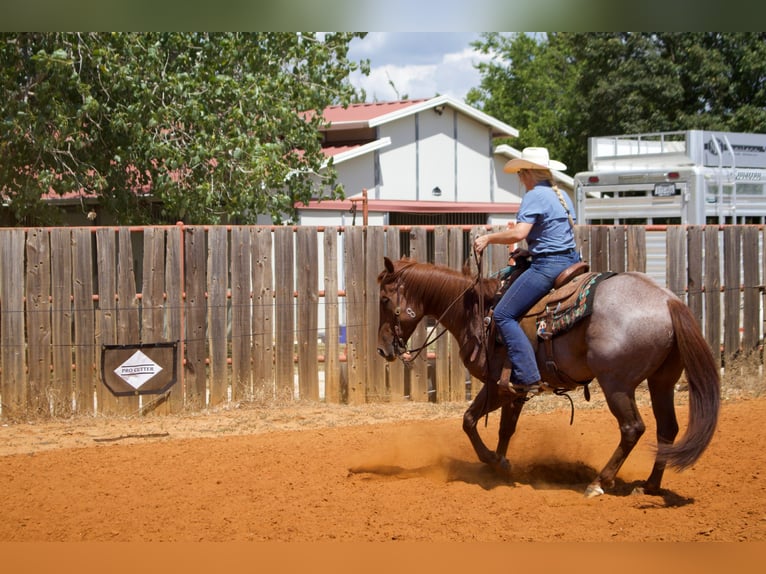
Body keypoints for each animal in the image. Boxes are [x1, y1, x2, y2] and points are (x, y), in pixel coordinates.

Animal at [376, 258, 724, 500]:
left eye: (384, 299)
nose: (383, 349)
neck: (477, 312)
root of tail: (667, 300)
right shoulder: (513, 390)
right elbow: (500, 428)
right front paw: (500, 464)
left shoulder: (498, 386)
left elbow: (470, 421)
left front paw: (493, 461)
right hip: (661, 381)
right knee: (668, 428)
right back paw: (650, 485)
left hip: (617, 384)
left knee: (632, 428)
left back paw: (598, 483)